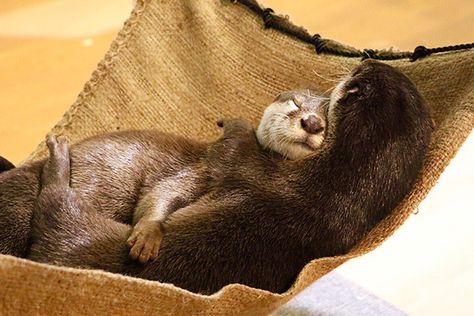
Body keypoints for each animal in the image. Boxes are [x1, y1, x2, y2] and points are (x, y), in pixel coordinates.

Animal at [0, 89, 328, 262]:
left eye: (328, 113)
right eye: (296, 102)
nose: (312, 122)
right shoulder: (203, 169)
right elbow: (160, 194)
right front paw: (147, 236)